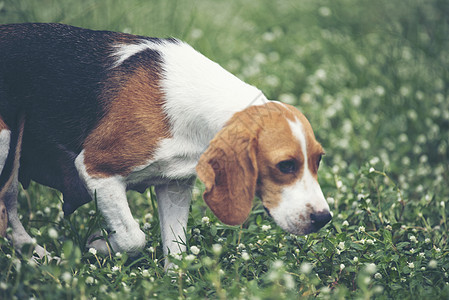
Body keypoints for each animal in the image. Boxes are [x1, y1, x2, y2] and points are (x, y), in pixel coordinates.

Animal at [0, 24, 328, 262]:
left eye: (319, 160)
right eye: (285, 165)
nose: (324, 219)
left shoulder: (175, 185)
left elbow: (177, 251)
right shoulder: (97, 169)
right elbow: (133, 238)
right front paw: (99, 246)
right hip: (6, 147)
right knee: (9, 207)